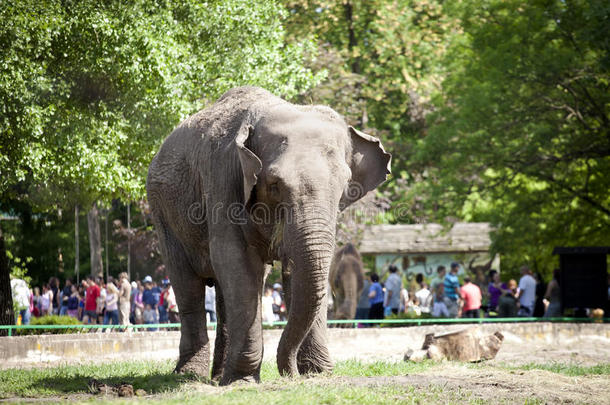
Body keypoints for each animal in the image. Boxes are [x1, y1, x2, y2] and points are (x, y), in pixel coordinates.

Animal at [146, 87, 390, 384]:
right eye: (274, 184)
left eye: (345, 186)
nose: (292, 374)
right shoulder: (224, 178)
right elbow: (235, 260)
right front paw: (242, 380)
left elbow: (291, 272)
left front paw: (317, 374)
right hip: (162, 212)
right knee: (188, 285)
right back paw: (190, 375)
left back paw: (218, 377)